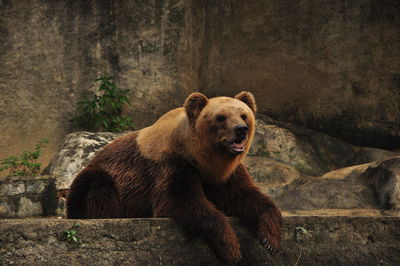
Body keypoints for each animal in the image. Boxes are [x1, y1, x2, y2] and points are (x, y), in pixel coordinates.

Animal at [66, 91, 282, 262]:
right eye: (221, 117)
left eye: (244, 115)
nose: (241, 130)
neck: (201, 158)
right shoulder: (171, 164)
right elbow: (179, 200)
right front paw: (231, 248)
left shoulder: (225, 174)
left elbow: (245, 196)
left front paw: (270, 238)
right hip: (97, 177)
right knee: (99, 185)